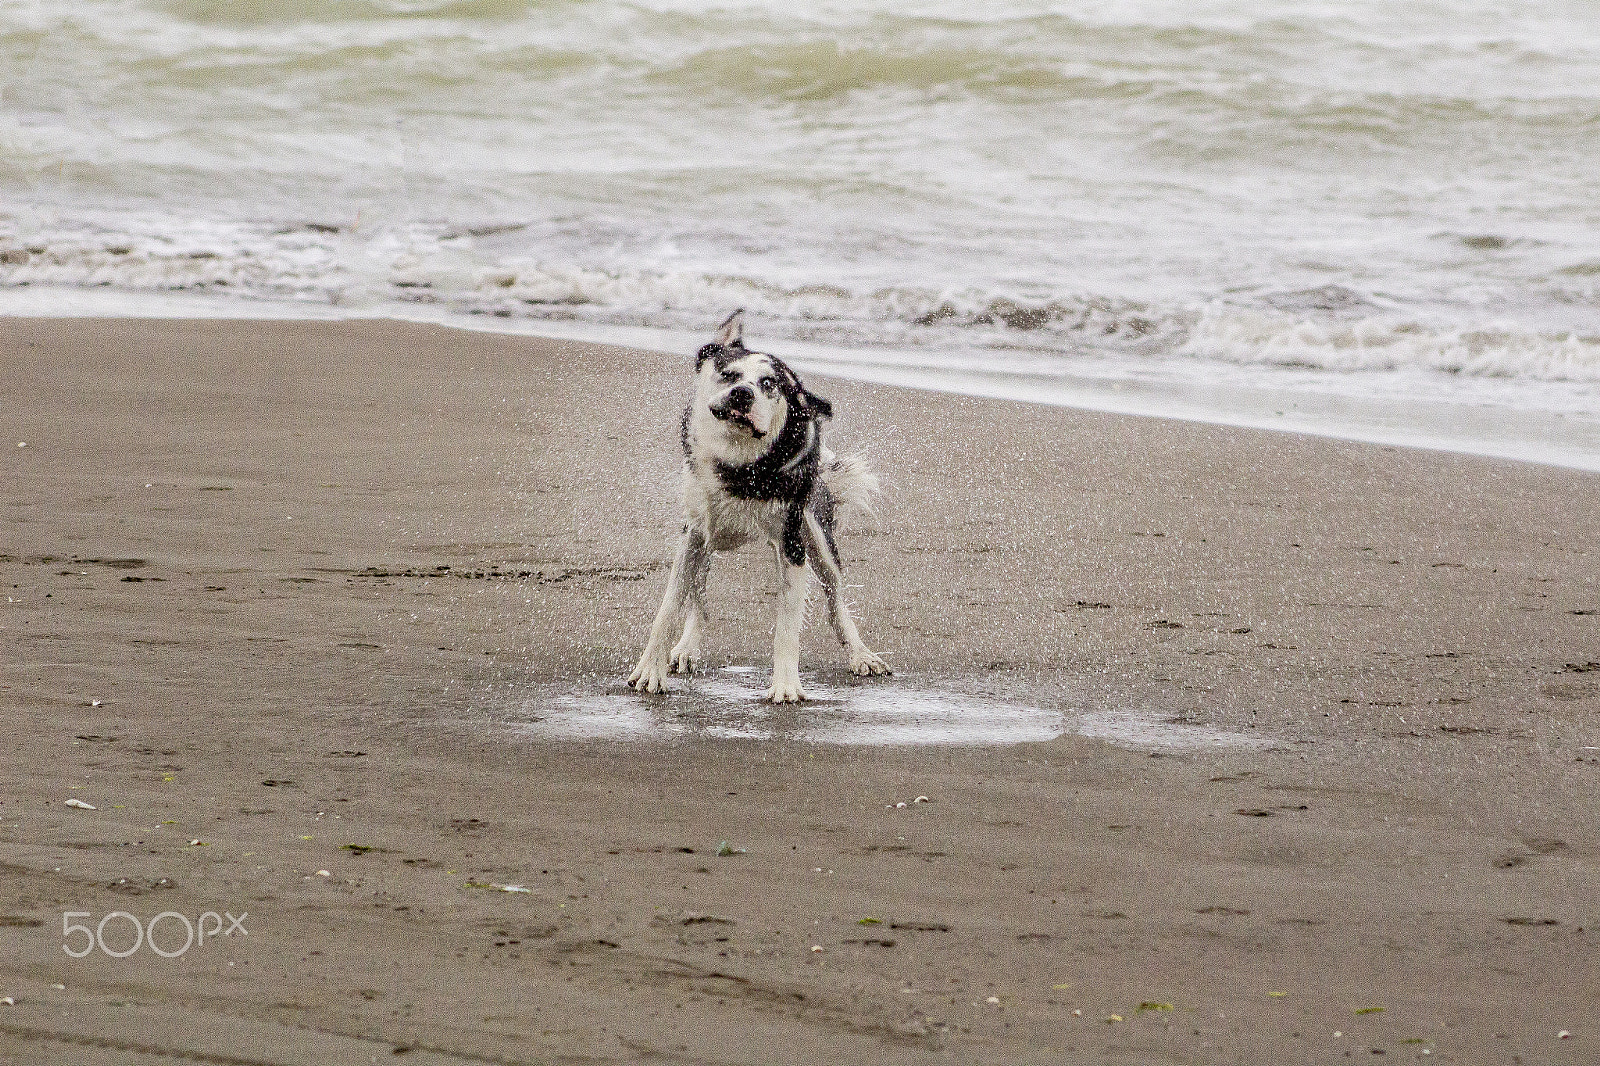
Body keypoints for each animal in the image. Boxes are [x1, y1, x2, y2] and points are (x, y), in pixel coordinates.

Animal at [627, 308, 902, 697]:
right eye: (729, 374)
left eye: (770, 384)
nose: (742, 394)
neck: (741, 466)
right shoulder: (694, 531)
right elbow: (670, 606)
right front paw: (651, 669)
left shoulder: (792, 543)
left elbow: (788, 624)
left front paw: (785, 686)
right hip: (708, 537)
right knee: (699, 594)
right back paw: (687, 647)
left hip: (818, 535)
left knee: (836, 598)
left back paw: (860, 654)